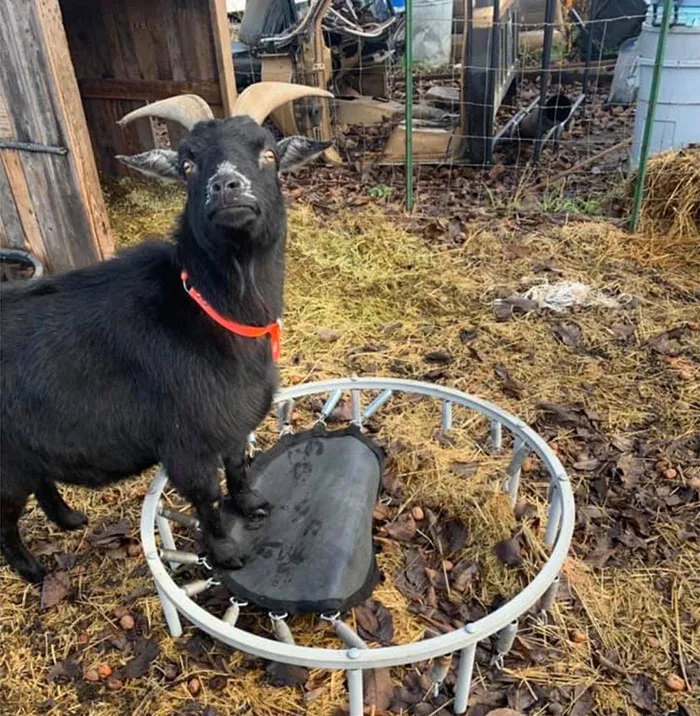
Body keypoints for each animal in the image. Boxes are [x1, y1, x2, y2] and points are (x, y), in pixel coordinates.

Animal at [0, 82, 332, 583]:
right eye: (188, 164)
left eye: (269, 152)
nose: (226, 186)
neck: (208, 311)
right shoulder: (187, 441)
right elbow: (207, 495)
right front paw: (225, 552)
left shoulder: (230, 421)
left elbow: (238, 466)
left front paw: (252, 504)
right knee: (3, 520)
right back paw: (32, 570)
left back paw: (70, 519)